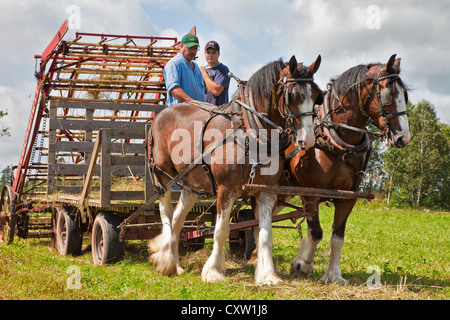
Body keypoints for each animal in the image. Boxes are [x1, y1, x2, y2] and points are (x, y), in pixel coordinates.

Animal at [149, 55, 324, 284]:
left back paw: (175, 264)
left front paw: (268, 274)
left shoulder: (266, 191)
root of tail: (161, 114)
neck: (250, 130)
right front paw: (213, 271)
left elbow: (265, 234)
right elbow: (221, 231)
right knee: (166, 215)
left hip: (190, 184)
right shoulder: (226, 188)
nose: (308, 140)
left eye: (317, 96)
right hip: (163, 175)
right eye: (292, 95)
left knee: (178, 220)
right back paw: (167, 261)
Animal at [284, 54, 412, 284]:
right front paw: (303, 263)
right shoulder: (310, 194)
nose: (403, 138)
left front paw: (334, 275)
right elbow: (316, 232)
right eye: (388, 95)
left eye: (405, 95)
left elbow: (337, 236)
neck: (334, 138)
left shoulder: (348, 196)